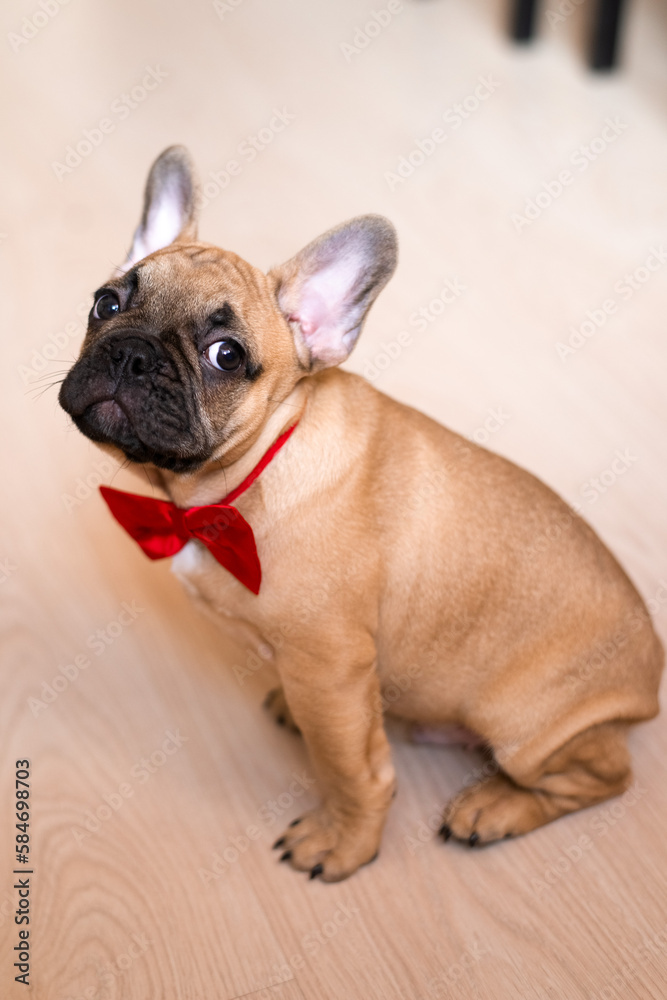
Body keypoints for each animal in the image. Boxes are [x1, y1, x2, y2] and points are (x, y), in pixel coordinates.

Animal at [61, 146, 664, 884]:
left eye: (226, 355)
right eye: (107, 302)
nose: (131, 351)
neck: (248, 478)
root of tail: (650, 676)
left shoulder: (330, 669)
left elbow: (352, 771)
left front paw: (343, 843)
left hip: (525, 726)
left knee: (604, 776)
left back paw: (493, 807)